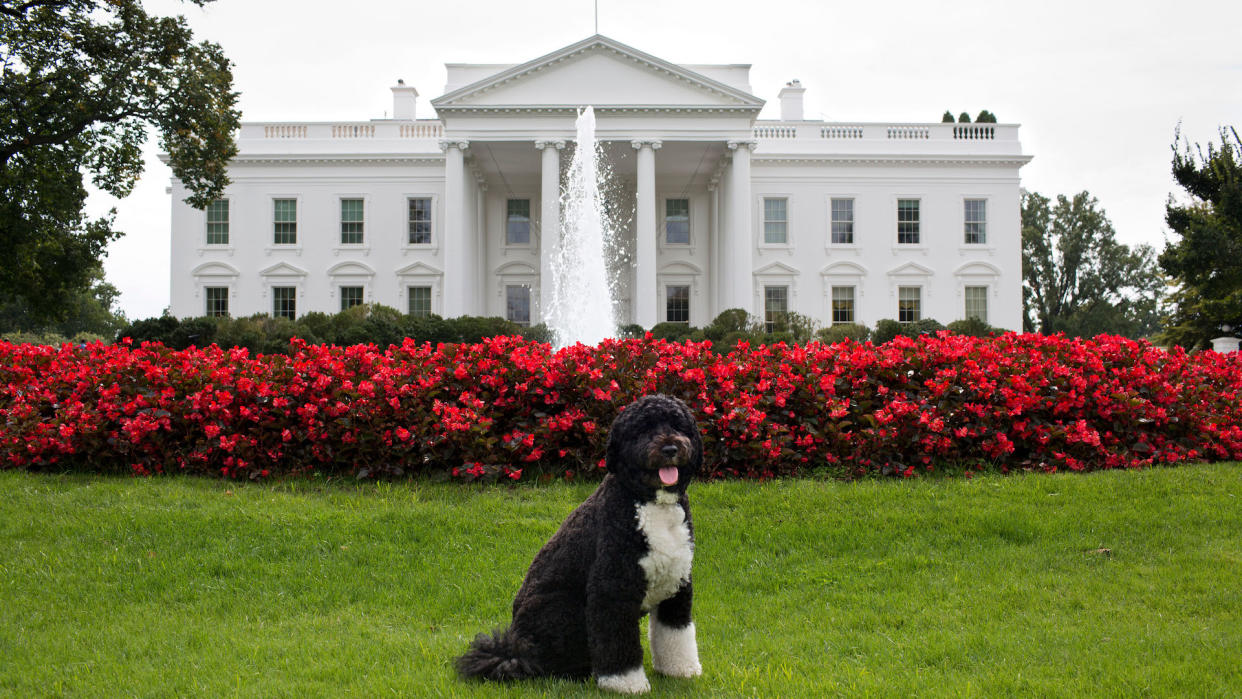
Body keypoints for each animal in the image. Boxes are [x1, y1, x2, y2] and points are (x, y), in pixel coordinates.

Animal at [457, 394, 705, 695]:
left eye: (678, 425)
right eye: (643, 429)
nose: (670, 447)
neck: (651, 503)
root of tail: (514, 648)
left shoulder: (677, 585)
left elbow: (676, 633)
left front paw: (681, 670)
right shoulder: (611, 590)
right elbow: (617, 642)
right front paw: (626, 684)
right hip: (564, 610)